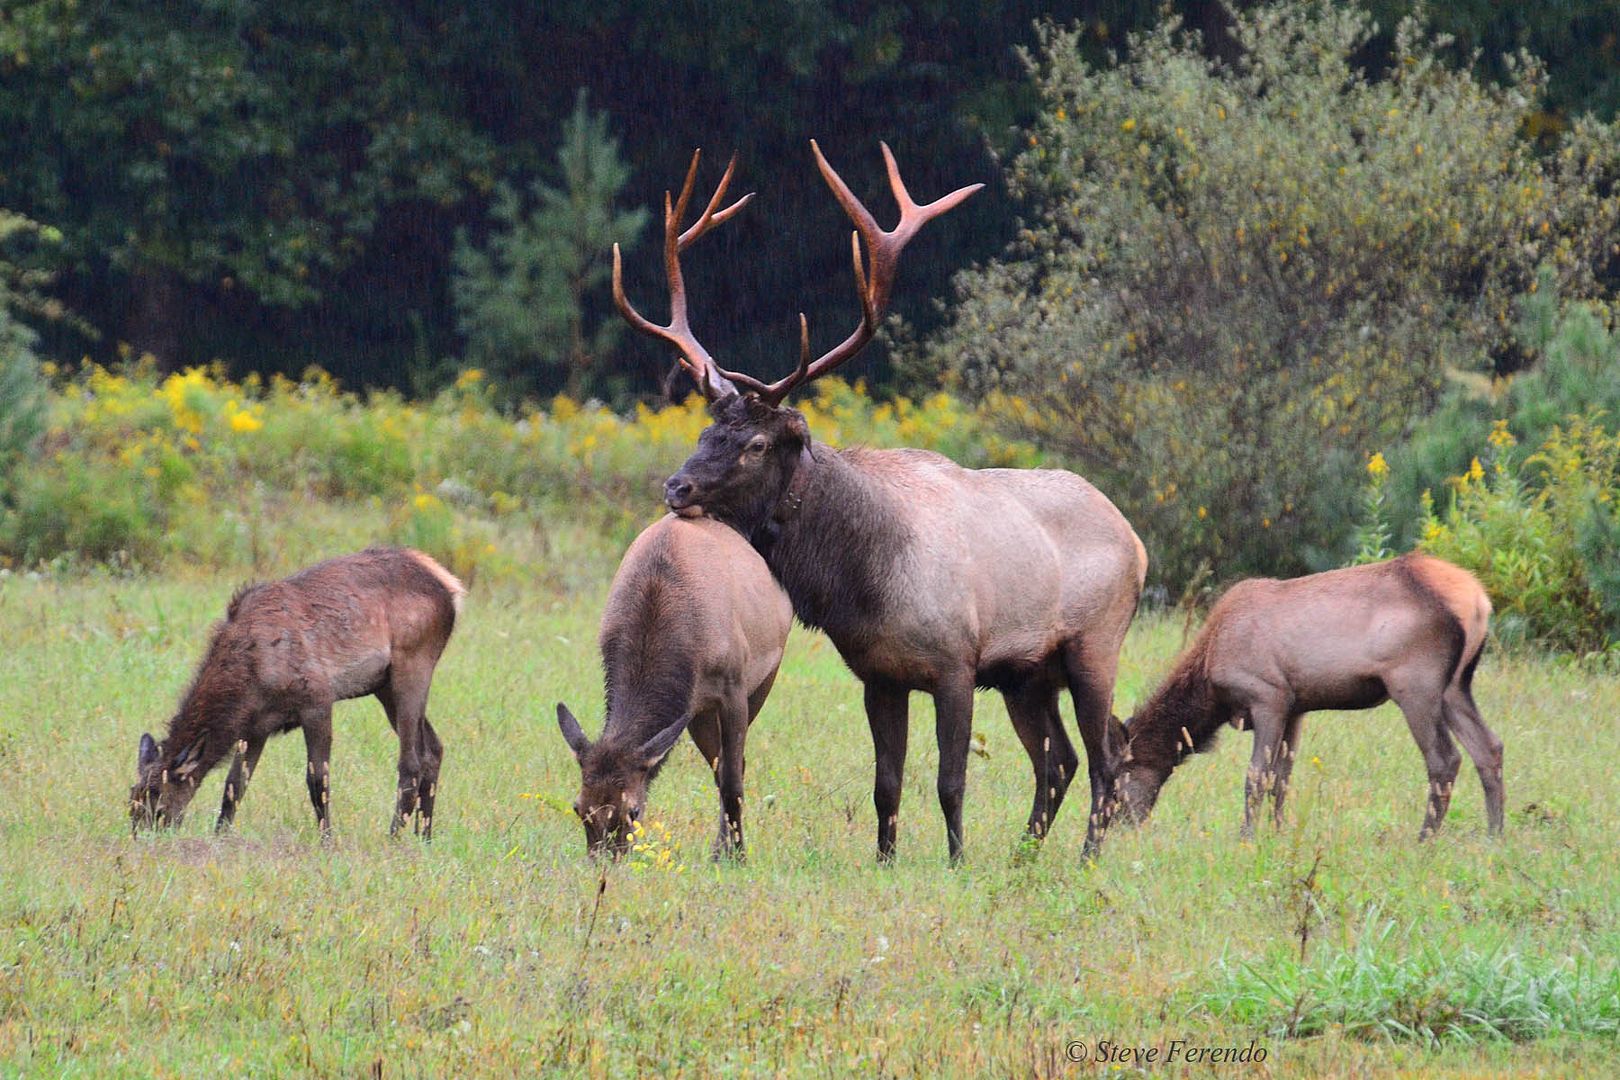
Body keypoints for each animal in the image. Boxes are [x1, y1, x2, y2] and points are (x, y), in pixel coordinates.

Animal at [129, 547, 465, 839]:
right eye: (132, 797)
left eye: (157, 799)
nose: (141, 837)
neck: (248, 681)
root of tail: (450, 586)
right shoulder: (256, 727)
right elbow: (234, 785)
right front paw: (219, 836)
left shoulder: (317, 700)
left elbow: (317, 779)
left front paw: (327, 840)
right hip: (384, 687)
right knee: (433, 749)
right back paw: (424, 837)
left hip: (412, 665)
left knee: (411, 761)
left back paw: (393, 837)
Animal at [556, 513, 793, 859]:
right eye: (578, 807)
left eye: (633, 811)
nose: (605, 861)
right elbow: (723, 774)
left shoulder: (733, 688)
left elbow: (733, 782)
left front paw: (739, 856)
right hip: (699, 714)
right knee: (720, 767)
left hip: (764, 676)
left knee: (735, 767)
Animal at [612, 144, 1148, 864]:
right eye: (703, 432)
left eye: (755, 443)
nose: (677, 487)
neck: (864, 582)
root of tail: (1136, 541)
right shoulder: (879, 675)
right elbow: (886, 783)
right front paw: (885, 861)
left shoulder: (956, 660)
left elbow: (950, 780)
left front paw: (956, 862)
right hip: (1028, 675)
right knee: (1057, 760)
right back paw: (1024, 855)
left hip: (1096, 643)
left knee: (1105, 755)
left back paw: (1085, 858)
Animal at [1108, 553, 1502, 840]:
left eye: (1116, 778)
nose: (1115, 822)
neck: (1211, 684)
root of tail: (1479, 601)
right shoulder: (1296, 707)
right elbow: (1282, 779)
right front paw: (1278, 833)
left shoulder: (1268, 696)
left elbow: (1256, 776)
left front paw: (1247, 836)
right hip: (1455, 686)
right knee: (1490, 747)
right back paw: (1494, 835)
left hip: (1416, 684)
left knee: (1445, 758)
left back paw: (1425, 838)